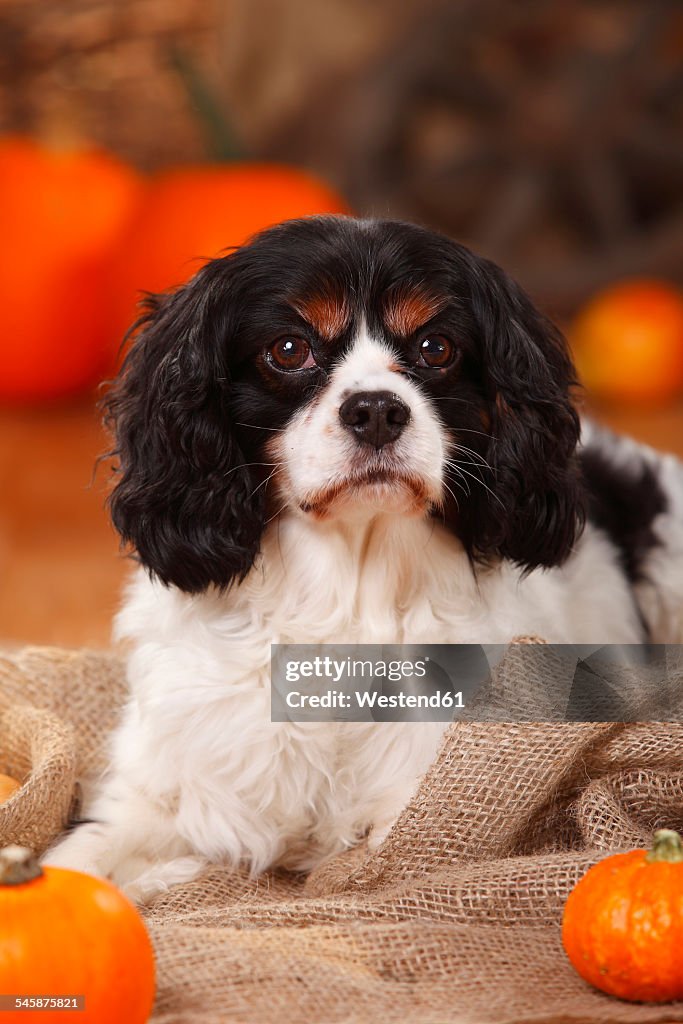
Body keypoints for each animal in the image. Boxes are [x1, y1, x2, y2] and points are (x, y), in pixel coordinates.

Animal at [46, 214, 683, 897]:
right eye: (289, 349)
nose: (377, 409)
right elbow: (82, 859)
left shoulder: (420, 807)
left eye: (436, 347)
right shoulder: (166, 790)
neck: (346, 593)